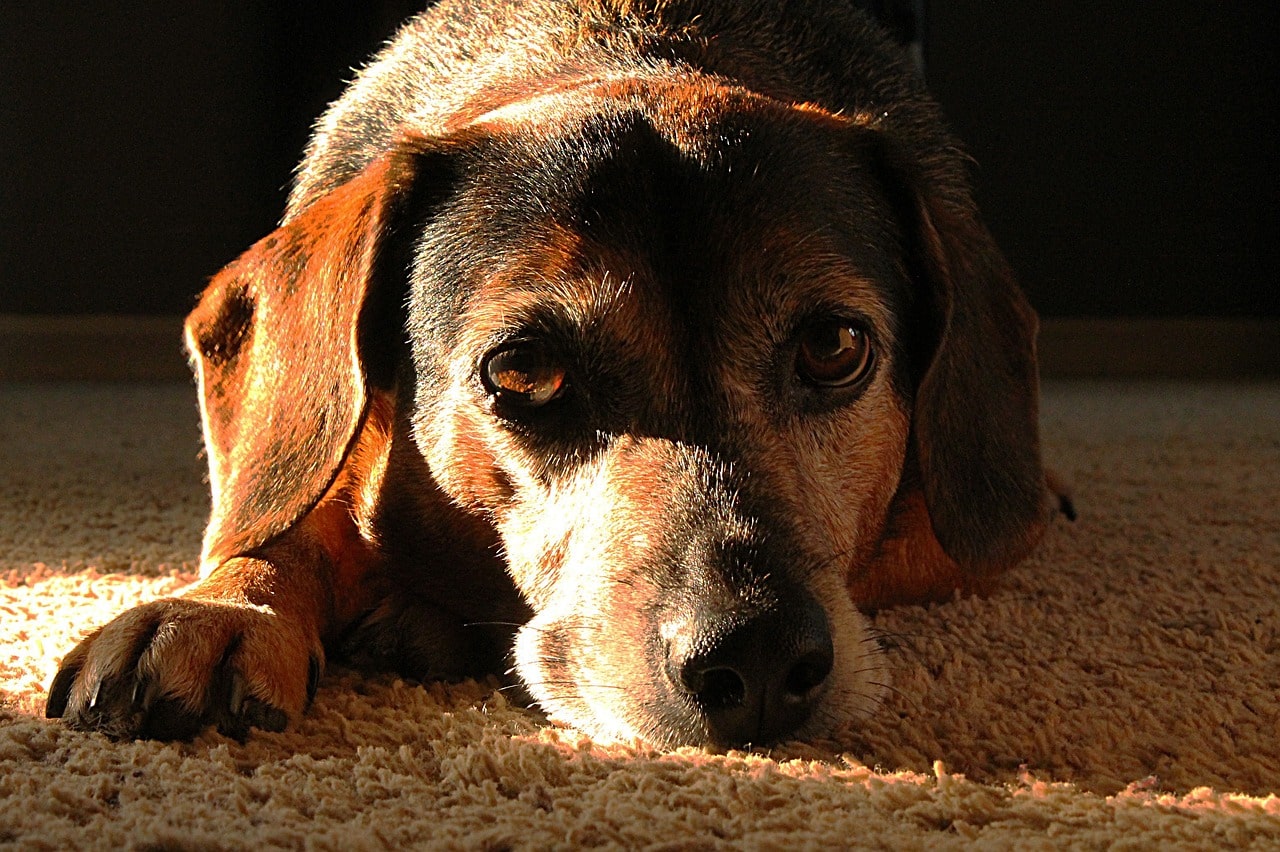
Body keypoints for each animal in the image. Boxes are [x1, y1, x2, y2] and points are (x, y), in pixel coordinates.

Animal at [45, 0, 1064, 741]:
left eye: (835, 348)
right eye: (525, 369)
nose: (764, 660)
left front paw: (411, 609)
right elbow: (300, 513)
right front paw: (227, 608)